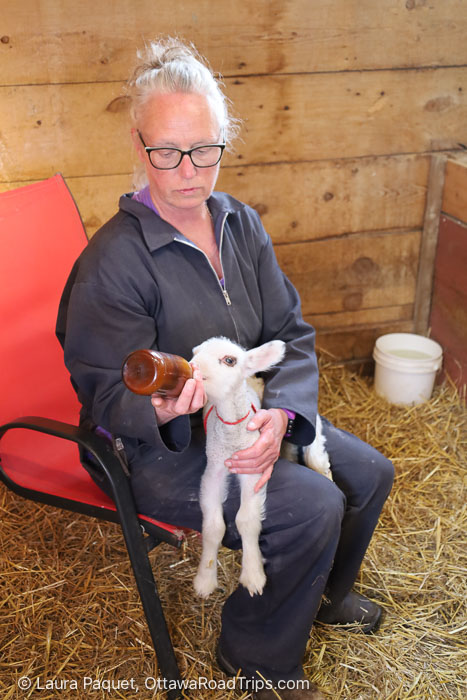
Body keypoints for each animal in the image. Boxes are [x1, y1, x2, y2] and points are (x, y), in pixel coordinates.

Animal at [191, 336, 332, 599]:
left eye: (229, 360)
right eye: (195, 352)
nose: (192, 366)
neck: (232, 432)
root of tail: (255, 378)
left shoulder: (253, 468)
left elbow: (246, 521)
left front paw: (253, 575)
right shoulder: (214, 468)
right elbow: (213, 527)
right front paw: (205, 579)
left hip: (311, 427)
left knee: (317, 452)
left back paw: (327, 477)